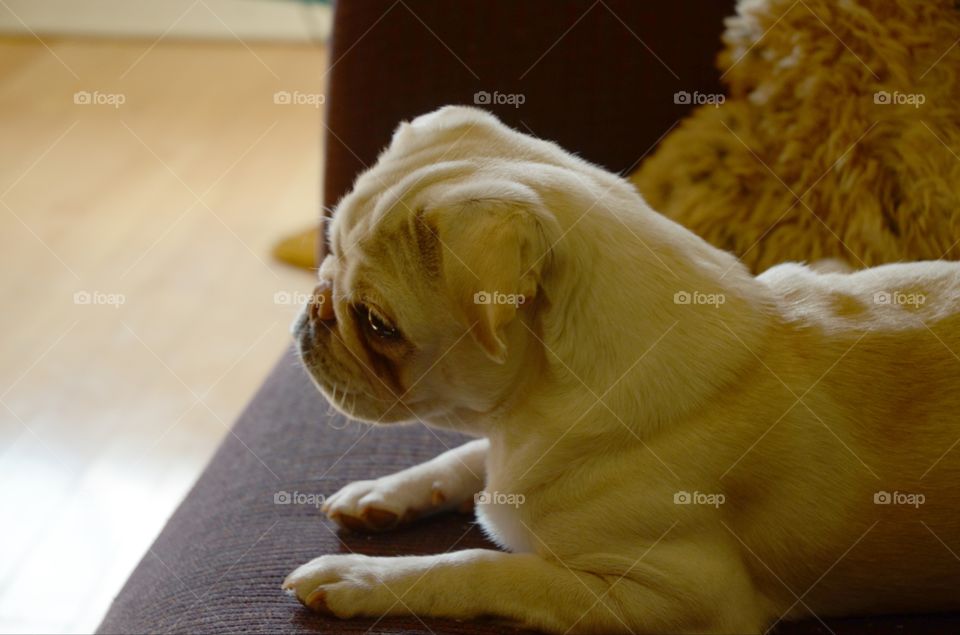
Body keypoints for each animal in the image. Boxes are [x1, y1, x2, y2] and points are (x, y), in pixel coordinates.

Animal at [284, 107, 960, 632]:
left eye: (377, 324)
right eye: (328, 260)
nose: (315, 310)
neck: (524, 418)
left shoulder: (675, 598)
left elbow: (487, 567)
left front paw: (362, 577)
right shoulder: (503, 446)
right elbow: (465, 458)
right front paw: (386, 493)